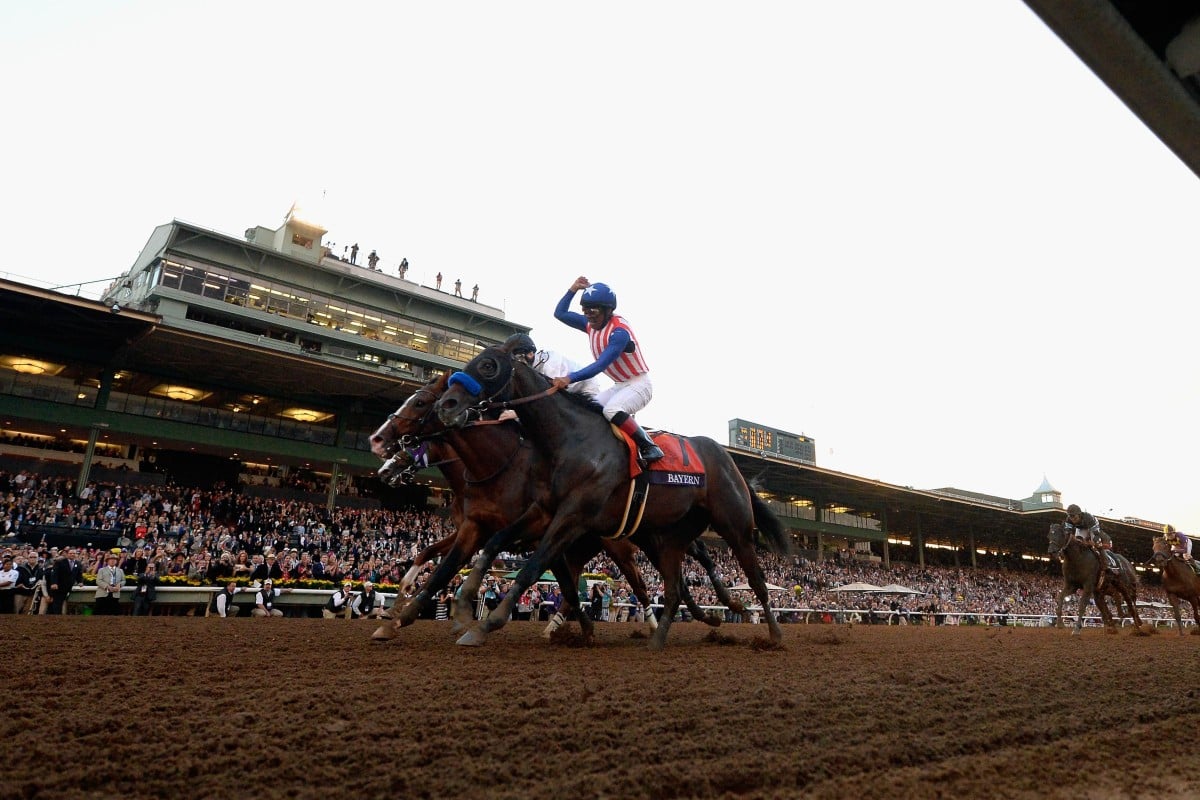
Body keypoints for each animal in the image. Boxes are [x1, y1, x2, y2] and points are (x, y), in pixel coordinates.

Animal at [436, 340, 792, 652]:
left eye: (487, 365)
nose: (445, 405)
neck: (572, 440)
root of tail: (727, 458)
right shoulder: (543, 510)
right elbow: (495, 543)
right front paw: (463, 606)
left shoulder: (573, 516)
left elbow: (532, 567)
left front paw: (485, 625)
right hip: (669, 537)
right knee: (675, 587)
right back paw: (662, 637)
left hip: (734, 527)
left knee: (755, 579)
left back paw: (771, 634)